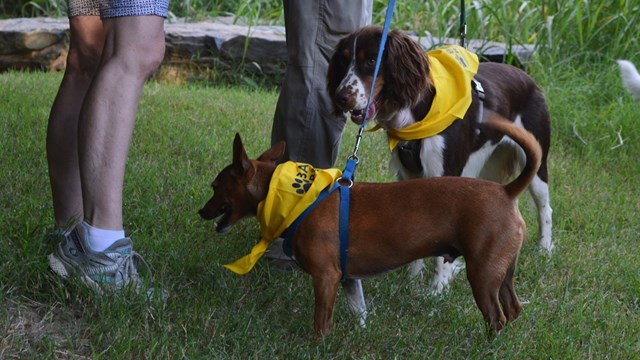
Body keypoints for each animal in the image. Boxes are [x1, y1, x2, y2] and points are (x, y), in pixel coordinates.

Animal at [200, 113, 540, 338]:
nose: (202, 211)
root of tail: (506, 190)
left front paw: (318, 344)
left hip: (482, 275)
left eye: (215, 187)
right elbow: (359, 311)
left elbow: (321, 321)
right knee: (513, 309)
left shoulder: (325, 278)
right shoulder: (349, 279)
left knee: (496, 317)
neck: (295, 196)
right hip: (501, 272)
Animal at [328, 26, 552, 294]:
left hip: (537, 161)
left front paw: (437, 289)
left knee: (545, 207)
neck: (418, 114)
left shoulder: (445, 174)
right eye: (343, 60)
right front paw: (413, 279)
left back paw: (545, 249)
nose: (341, 97)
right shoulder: (409, 175)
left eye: (371, 61)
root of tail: (527, 77)